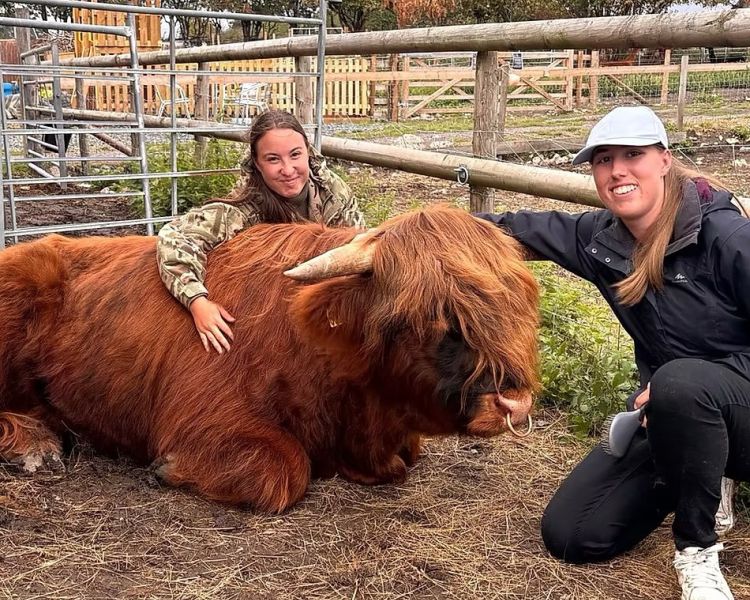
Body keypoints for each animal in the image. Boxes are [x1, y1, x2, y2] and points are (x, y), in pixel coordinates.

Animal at [0, 205, 539, 512]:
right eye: (429, 319)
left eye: (516, 303)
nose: (512, 404)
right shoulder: (205, 422)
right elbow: (284, 471)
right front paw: (168, 471)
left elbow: (403, 462)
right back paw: (34, 445)